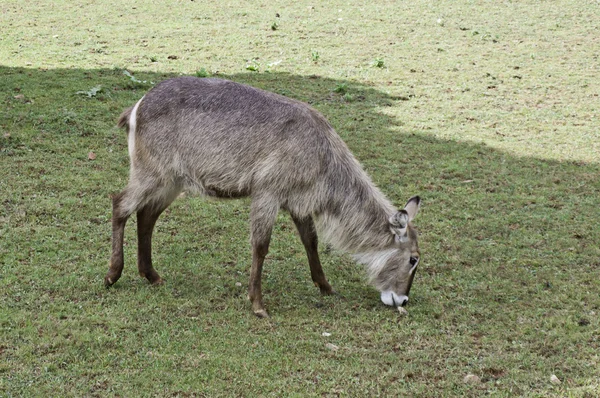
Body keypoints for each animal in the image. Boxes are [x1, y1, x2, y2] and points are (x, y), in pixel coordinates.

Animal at [104, 77, 422, 318]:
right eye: (413, 259)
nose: (403, 299)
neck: (323, 157)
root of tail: (137, 106)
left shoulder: (297, 201)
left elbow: (311, 241)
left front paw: (326, 287)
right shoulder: (267, 192)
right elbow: (260, 246)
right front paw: (258, 304)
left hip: (172, 180)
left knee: (146, 215)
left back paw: (152, 275)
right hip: (151, 171)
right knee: (120, 204)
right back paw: (112, 275)